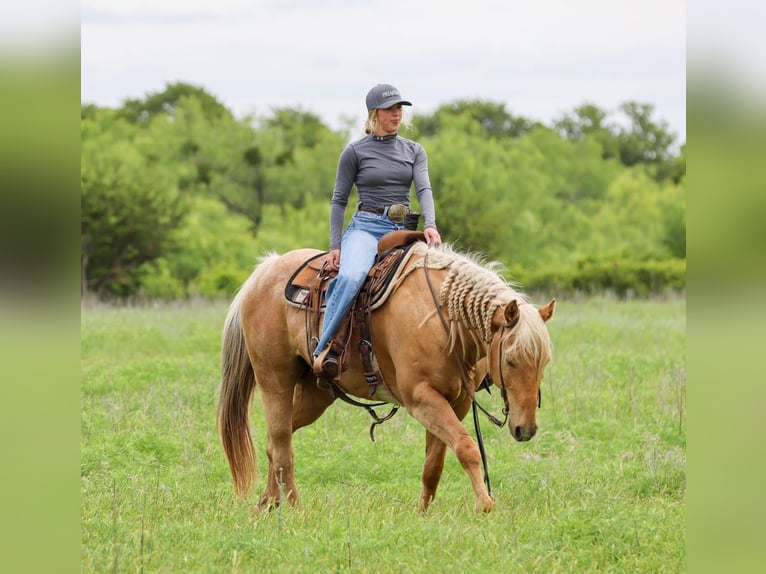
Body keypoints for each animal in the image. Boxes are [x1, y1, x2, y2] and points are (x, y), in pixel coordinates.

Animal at [217, 239, 555, 513]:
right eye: (511, 360)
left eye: (544, 361)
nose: (526, 429)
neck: (443, 318)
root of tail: (266, 269)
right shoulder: (422, 399)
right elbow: (467, 447)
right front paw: (484, 505)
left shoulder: (454, 402)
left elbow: (434, 462)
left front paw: (423, 513)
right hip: (275, 381)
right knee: (281, 442)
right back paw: (295, 508)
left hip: (316, 394)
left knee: (275, 442)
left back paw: (268, 502)